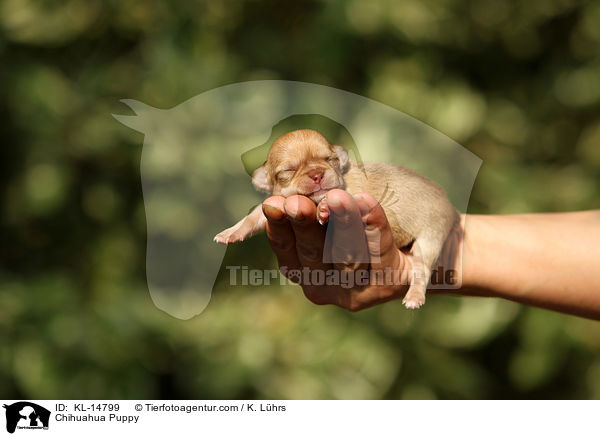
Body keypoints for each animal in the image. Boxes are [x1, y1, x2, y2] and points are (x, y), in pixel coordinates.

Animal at [216, 127, 460, 308]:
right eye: (289, 170)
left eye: (329, 159)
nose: (317, 174)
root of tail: (450, 205)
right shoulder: (277, 202)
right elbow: (253, 217)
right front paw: (231, 232)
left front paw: (324, 207)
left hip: (431, 236)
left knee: (422, 269)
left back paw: (414, 297)